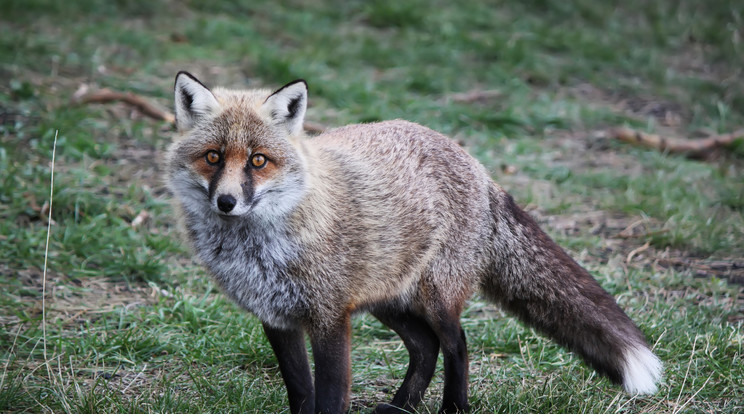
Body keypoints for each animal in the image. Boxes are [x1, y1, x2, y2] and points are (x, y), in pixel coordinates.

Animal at [166, 72, 660, 414]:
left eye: (258, 161)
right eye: (213, 157)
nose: (227, 202)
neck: (259, 248)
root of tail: (479, 167)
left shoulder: (330, 316)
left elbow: (328, 397)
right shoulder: (277, 317)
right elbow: (300, 392)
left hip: (435, 296)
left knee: (456, 344)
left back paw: (454, 408)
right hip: (389, 299)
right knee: (425, 347)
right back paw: (402, 406)